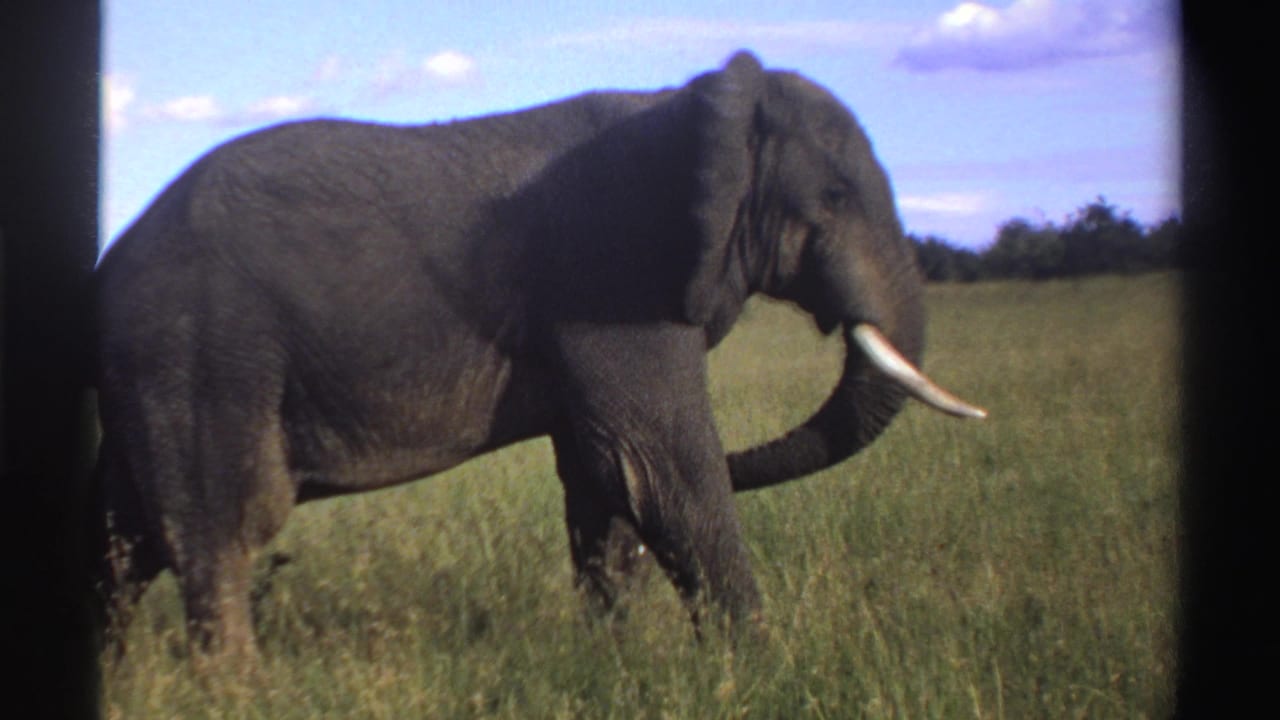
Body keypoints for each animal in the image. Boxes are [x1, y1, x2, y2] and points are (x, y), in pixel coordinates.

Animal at [90, 50, 985, 661]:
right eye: (833, 197)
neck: (696, 104)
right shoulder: (614, 277)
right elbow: (662, 468)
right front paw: (763, 670)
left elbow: (606, 478)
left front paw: (616, 663)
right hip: (199, 354)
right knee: (218, 527)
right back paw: (235, 688)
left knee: (122, 533)